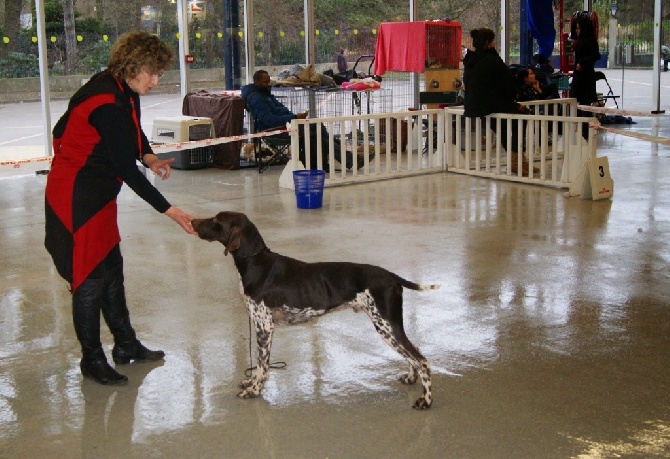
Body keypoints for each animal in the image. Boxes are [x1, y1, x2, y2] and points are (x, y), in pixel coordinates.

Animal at [193, 212, 440, 410]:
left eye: (216, 221)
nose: (193, 221)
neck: (256, 263)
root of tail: (392, 277)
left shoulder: (264, 327)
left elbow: (263, 366)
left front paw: (254, 390)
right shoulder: (261, 327)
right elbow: (259, 366)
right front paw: (251, 383)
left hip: (386, 326)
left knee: (422, 361)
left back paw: (425, 401)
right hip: (391, 326)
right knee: (415, 354)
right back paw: (410, 379)